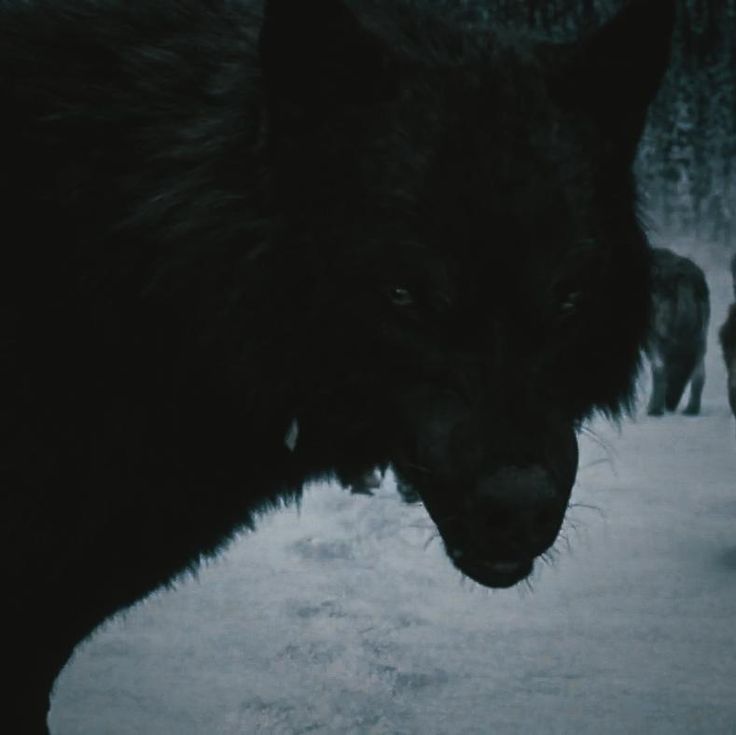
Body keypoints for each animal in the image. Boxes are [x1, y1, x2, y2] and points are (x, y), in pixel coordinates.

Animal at [648, 249, 712, 416]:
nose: (670, 404)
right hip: (701, 338)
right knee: (699, 375)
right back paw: (691, 409)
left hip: (659, 335)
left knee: (659, 369)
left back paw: (654, 409)